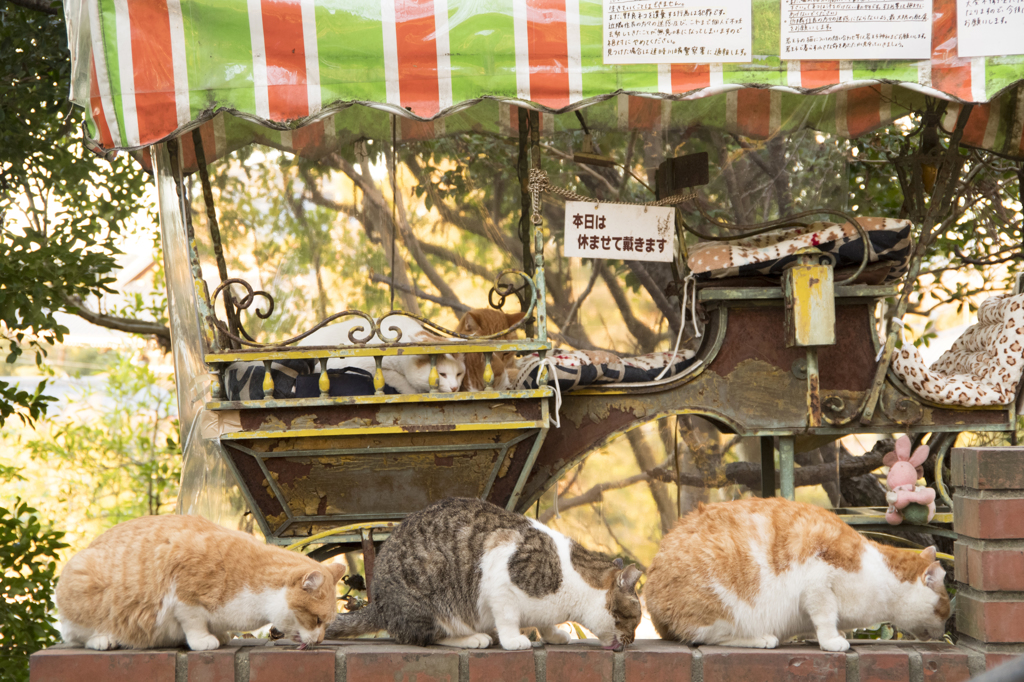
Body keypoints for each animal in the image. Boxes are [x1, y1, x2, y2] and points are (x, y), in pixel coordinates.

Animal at [55, 516, 344, 647]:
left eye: (327, 624)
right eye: (317, 620)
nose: (320, 640)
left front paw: (222, 635)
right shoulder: (183, 592)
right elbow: (193, 622)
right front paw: (205, 640)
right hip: (82, 585)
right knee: (73, 635)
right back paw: (103, 640)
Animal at [325, 493, 638, 647]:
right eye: (634, 620)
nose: (632, 640)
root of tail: (378, 603)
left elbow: (546, 622)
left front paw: (553, 634)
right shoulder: (500, 572)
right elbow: (508, 617)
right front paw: (513, 640)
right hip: (430, 598)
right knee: (427, 637)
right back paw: (472, 638)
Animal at [643, 497, 946, 651]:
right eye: (944, 611)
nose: (944, 632)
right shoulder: (817, 582)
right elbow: (825, 617)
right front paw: (833, 641)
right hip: (722, 606)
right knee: (706, 636)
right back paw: (762, 639)